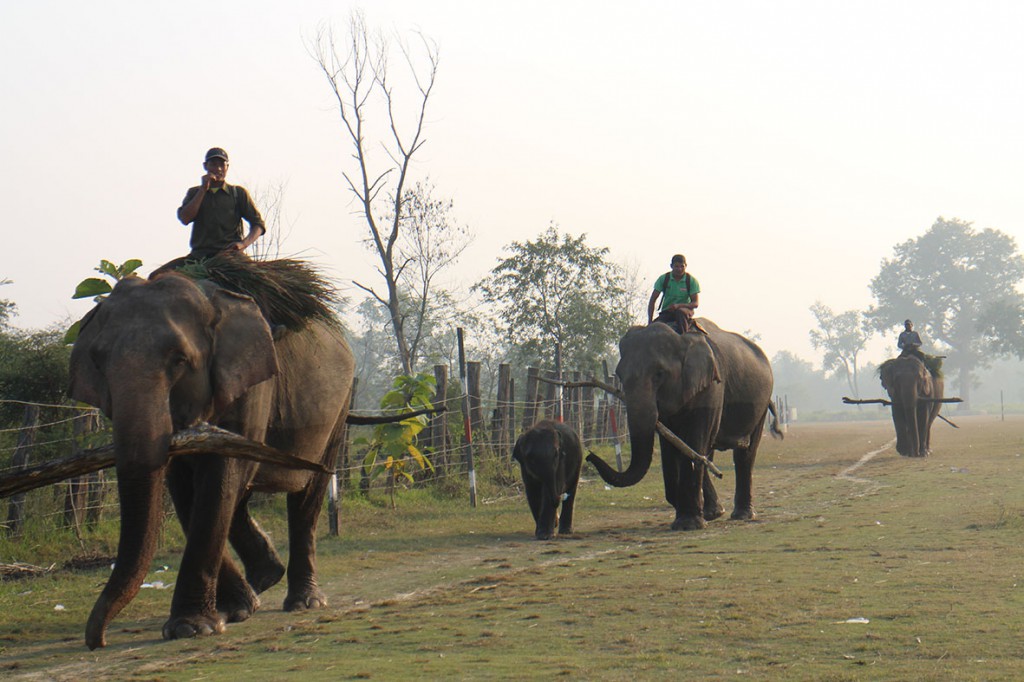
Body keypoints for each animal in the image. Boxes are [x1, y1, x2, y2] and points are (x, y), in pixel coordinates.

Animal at [67, 270, 356, 647]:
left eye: (179, 360)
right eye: (99, 362)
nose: (96, 641)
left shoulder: (251, 386)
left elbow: (219, 479)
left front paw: (190, 628)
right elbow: (187, 489)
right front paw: (237, 610)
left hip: (340, 407)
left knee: (308, 494)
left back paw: (303, 601)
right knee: (242, 498)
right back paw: (265, 577)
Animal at [589, 319, 778, 532]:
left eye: (659, 374)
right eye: (619, 376)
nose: (589, 455)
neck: (681, 337)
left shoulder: (711, 388)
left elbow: (694, 441)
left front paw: (688, 524)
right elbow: (674, 444)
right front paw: (700, 515)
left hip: (762, 403)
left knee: (744, 454)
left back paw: (742, 515)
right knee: (708, 452)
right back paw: (714, 512)